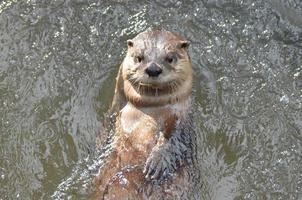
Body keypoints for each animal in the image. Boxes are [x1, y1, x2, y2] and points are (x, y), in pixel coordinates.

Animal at [95, 28, 198, 199]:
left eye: (170, 58)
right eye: (139, 57)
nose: (153, 69)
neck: (148, 109)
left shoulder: (181, 115)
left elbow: (173, 136)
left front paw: (157, 161)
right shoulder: (116, 105)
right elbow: (108, 118)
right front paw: (100, 142)